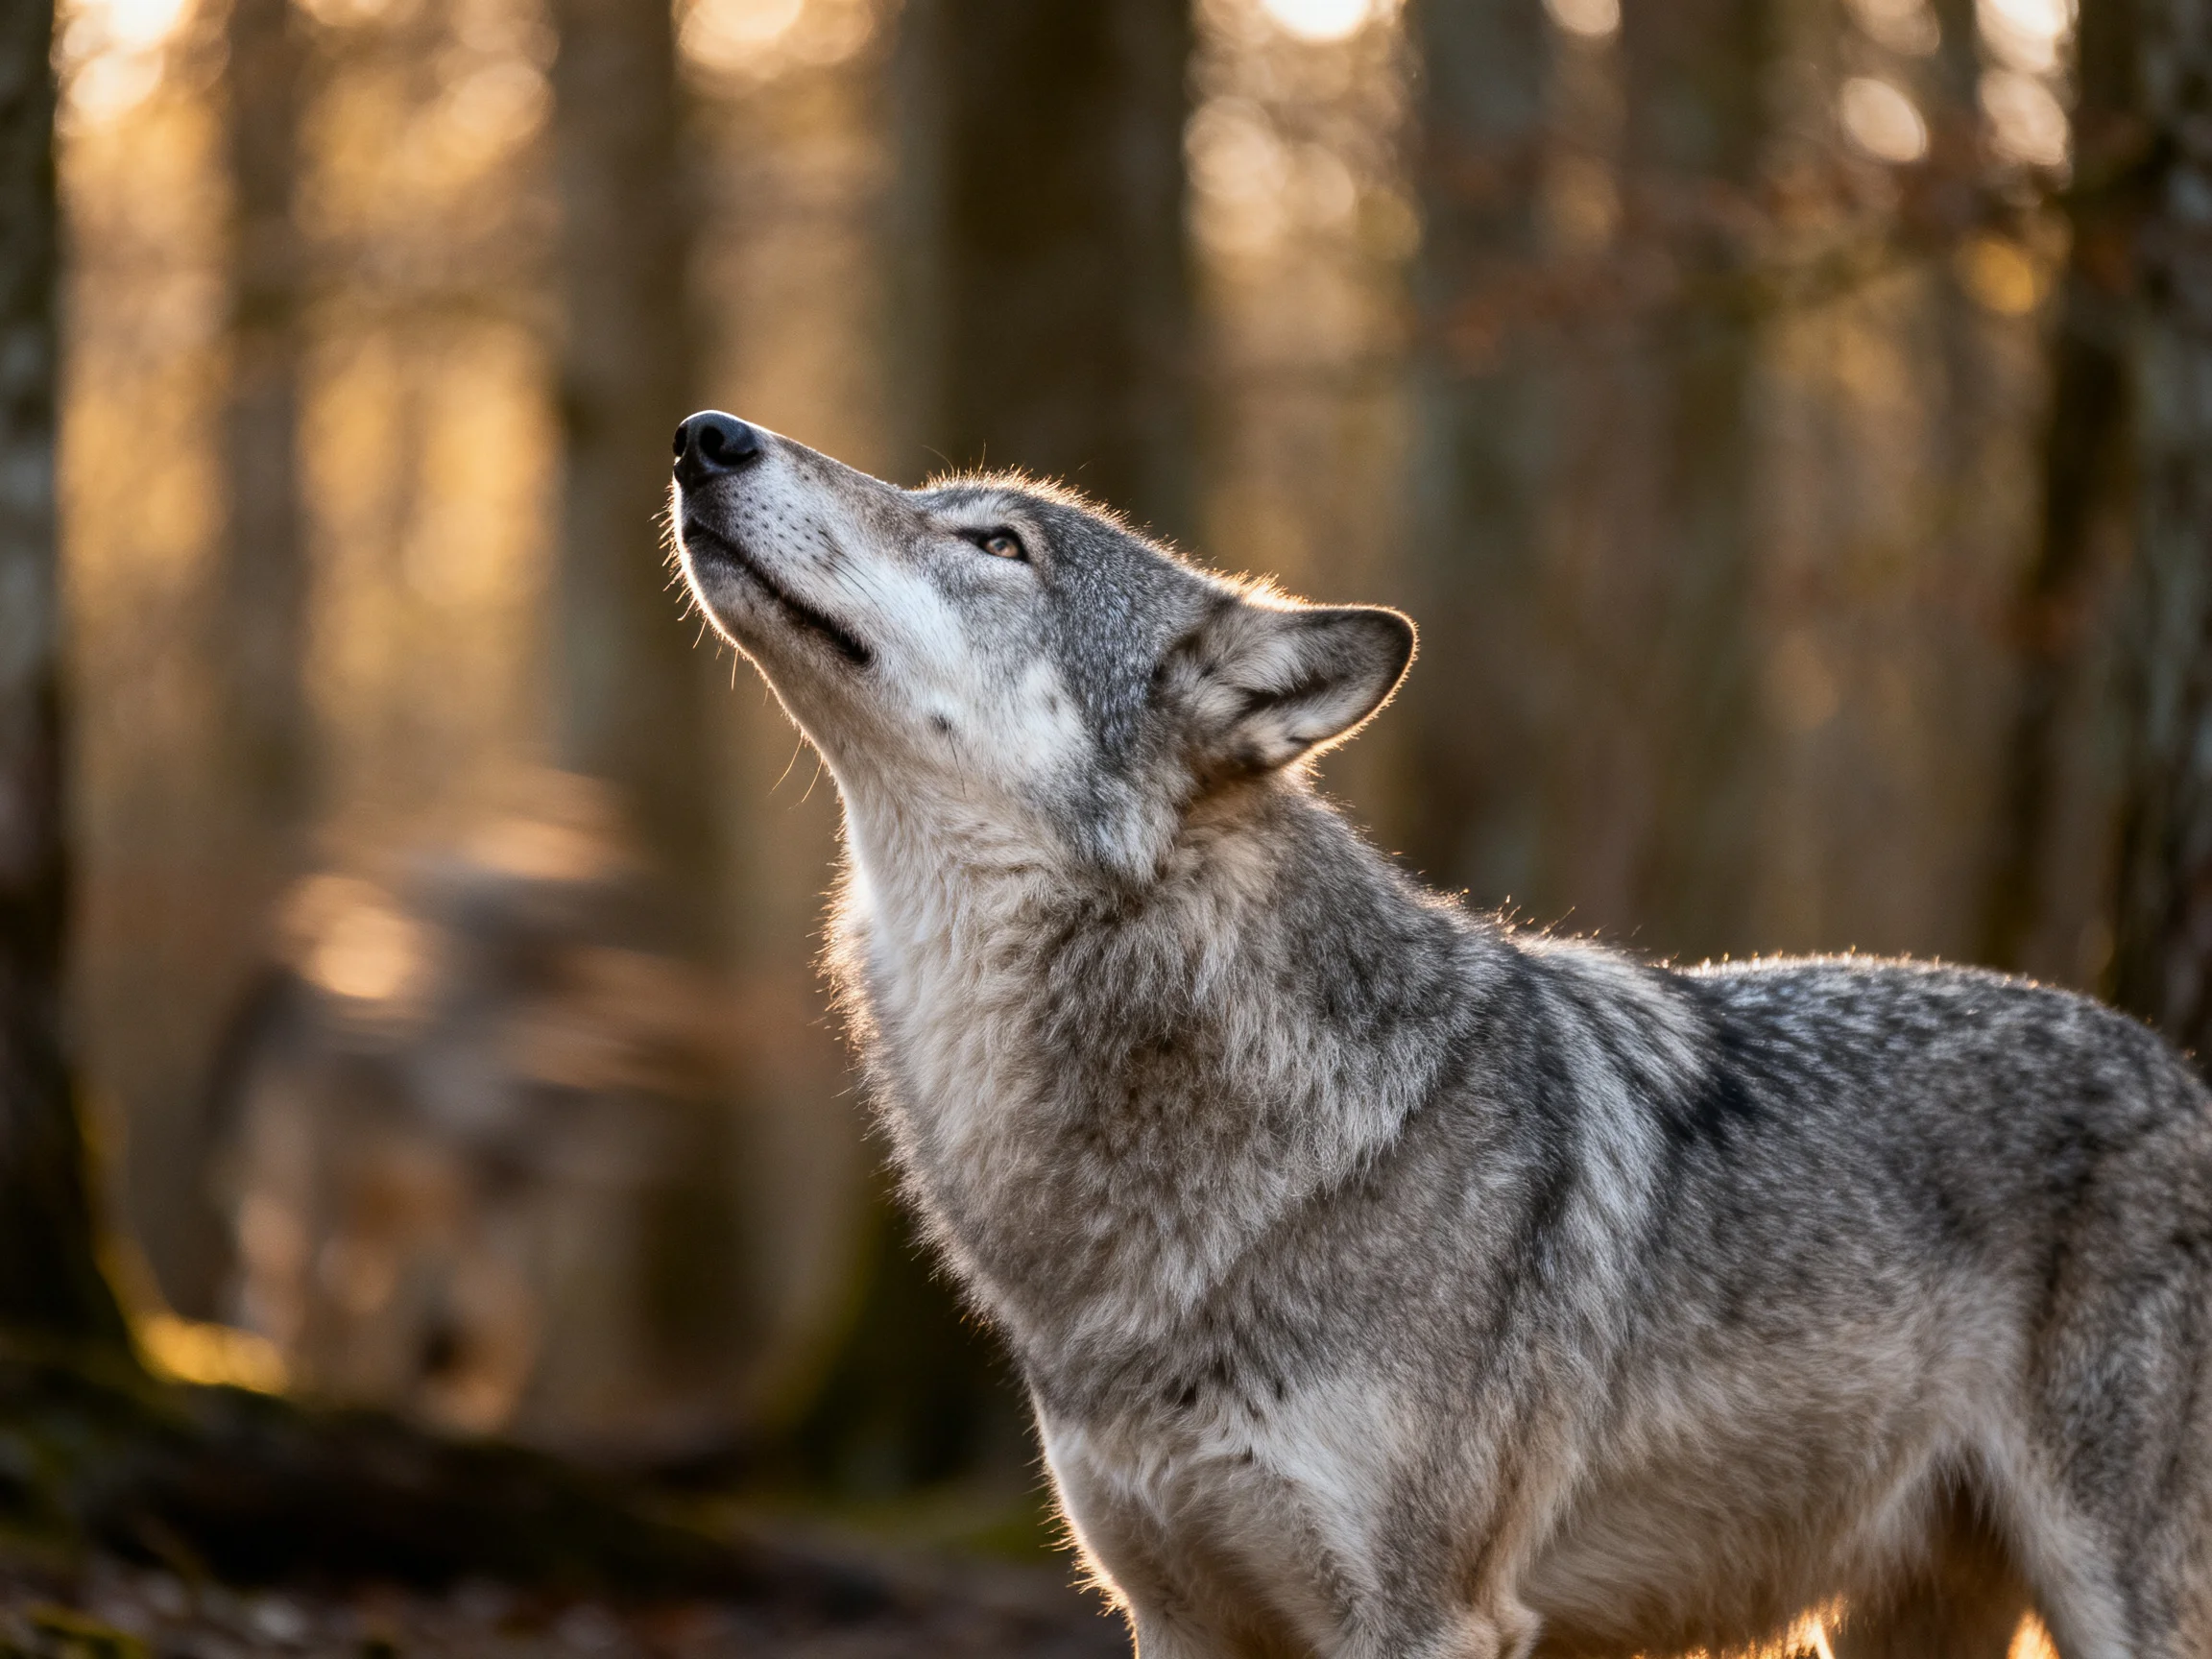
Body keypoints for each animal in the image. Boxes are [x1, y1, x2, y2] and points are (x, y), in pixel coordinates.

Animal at [668, 410, 2212, 1659]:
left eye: (996, 542)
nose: (706, 435)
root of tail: (2178, 1069)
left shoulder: (1425, 1615)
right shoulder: (1175, 1611)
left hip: (2115, 1600)